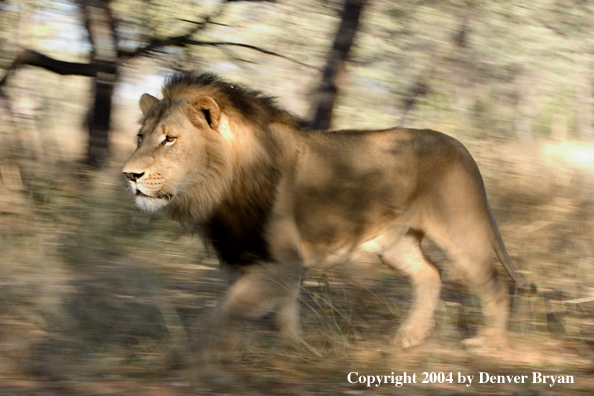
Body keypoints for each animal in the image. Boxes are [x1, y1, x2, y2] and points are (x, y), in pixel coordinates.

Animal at [122, 71, 528, 352]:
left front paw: (205, 355)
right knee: (430, 275)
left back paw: (490, 343)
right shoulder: (249, 256)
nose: (129, 175)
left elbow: (227, 310)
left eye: (170, 139)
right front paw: (291, 345)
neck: (218, 188)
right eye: (140, 137)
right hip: (393, 244)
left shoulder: (283, 260)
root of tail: (461, 146)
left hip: (462, 235)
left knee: (494, 286)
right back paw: (410, 336)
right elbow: (279, 307)